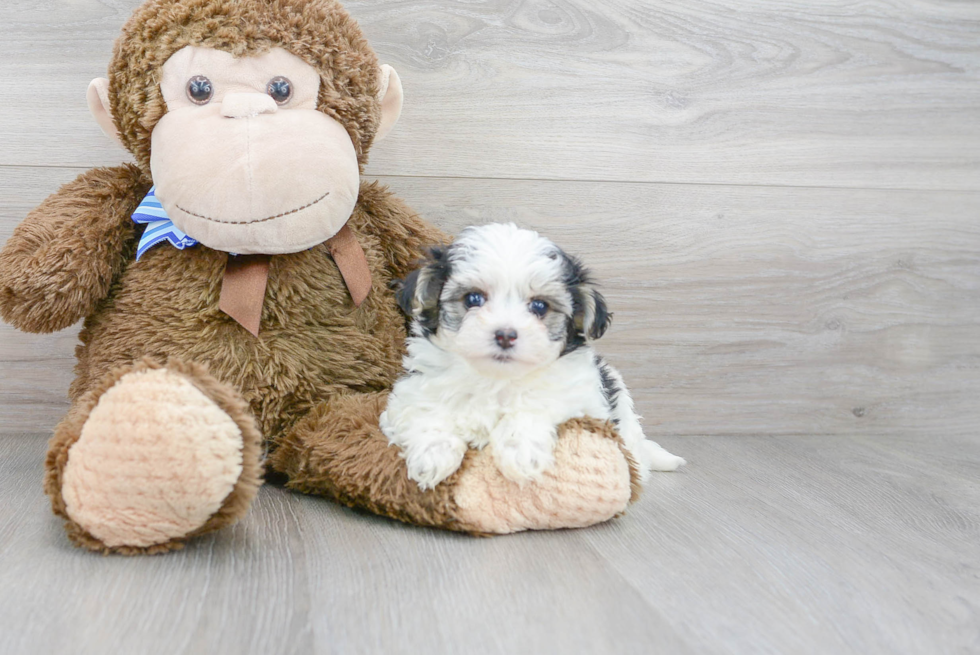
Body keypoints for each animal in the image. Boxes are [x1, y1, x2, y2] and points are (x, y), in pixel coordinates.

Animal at [378, 223, 684, 490]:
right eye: (473, 299)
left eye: (539, 306)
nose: (505, 335)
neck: (496, 380)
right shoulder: (411, 393)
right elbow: (425, 412)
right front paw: (432, 456)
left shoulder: (580, 400)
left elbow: (535, 405)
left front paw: (521, 454)